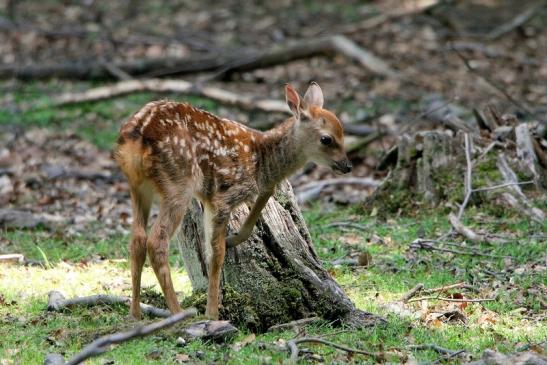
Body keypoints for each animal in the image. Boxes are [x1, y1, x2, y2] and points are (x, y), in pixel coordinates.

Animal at [115, 82, 354, 318]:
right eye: (326, 139)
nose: (347, 165)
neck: (263, 161)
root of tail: (138, 132)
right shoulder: (225, 194)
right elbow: (216, 253)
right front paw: (212, 314)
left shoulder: (211, 197)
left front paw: (232, 240)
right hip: (179, 183)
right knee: (156, 241)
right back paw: (178, 313)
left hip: (138, 185)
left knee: (137, 239)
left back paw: (135, 314)